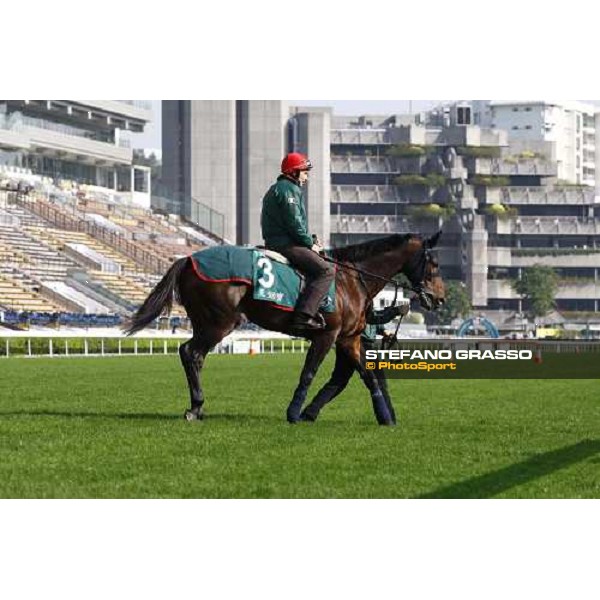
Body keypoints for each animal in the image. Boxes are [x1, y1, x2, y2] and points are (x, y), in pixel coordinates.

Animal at [125, 232, 446, 424]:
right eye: (434, 263)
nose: (440, 298)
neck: (351, 279)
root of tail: (188, 258)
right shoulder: (327, 335)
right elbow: (309, 373)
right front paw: (294, 412)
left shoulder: (348, 339)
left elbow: (367, 376)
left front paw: (385, 416)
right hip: (219, 322)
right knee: (190, 353)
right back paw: (195, 406)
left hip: (208, 322)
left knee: (193, 355)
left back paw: (198, 406)